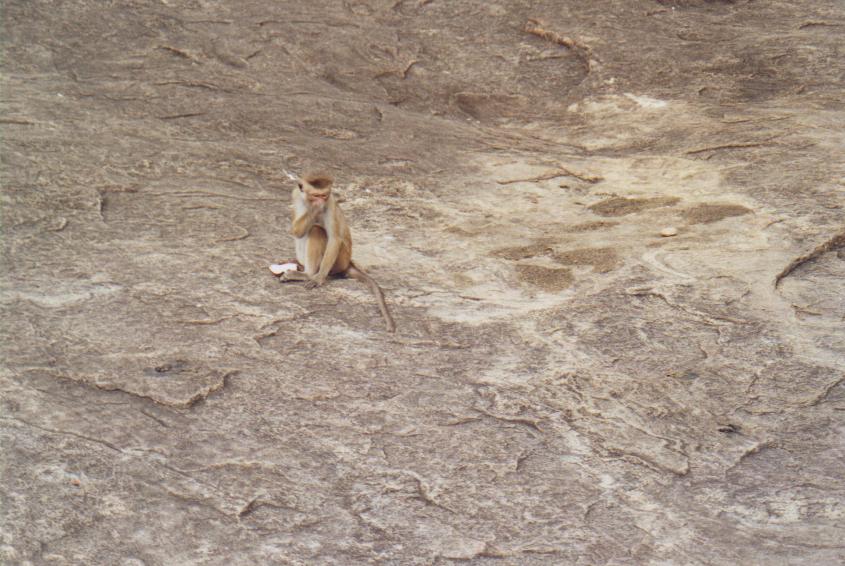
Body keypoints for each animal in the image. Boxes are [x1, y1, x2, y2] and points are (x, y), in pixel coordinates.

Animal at [276, 173, 396, 332]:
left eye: (324, 195)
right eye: (316, 195)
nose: (320, 201)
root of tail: (348, 263)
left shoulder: (330, 204)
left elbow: (334, 239)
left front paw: (318, 278)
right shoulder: (297, 196)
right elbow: (296, 231)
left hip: (339, 261)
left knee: (316, 230)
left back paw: (308, 274)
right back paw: (300, 265)